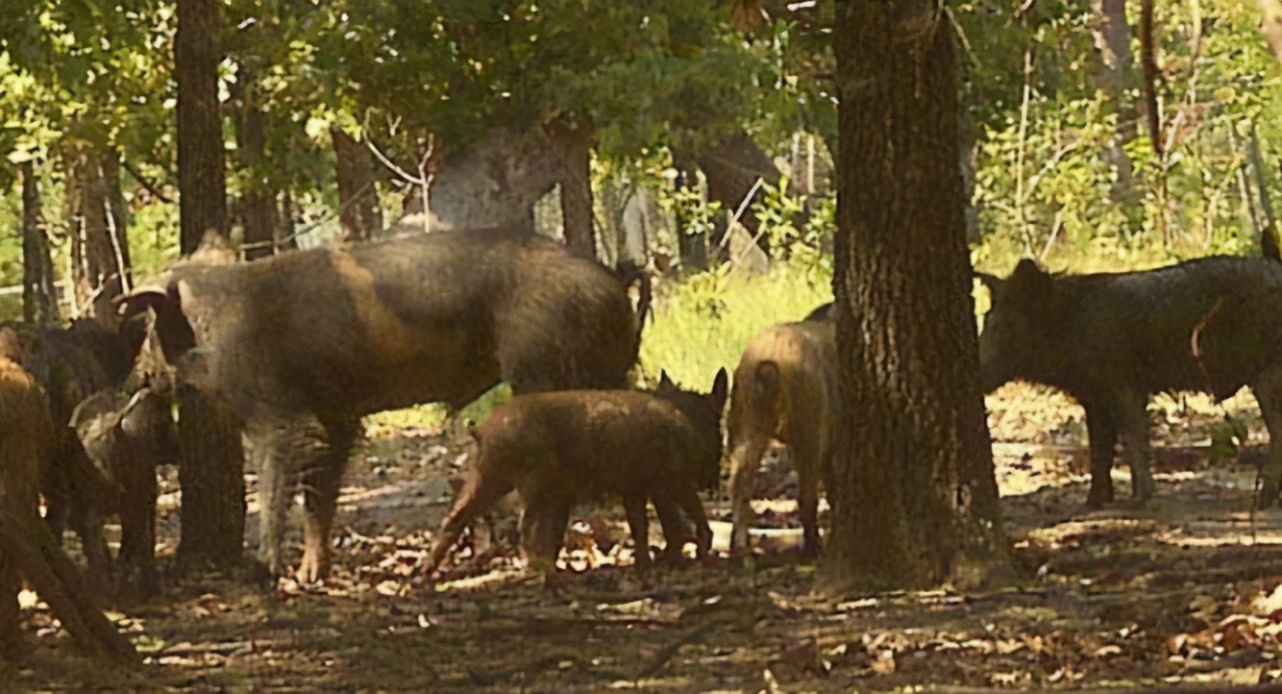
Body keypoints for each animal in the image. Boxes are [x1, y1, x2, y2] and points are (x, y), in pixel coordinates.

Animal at [120, 227, 641, 579]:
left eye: (149, 328)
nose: (136, 376)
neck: (216, 328)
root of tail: (612, 281)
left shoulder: (279, 414)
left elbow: (273, 483)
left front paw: (266, 570)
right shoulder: (337, 415)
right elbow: (320, 494)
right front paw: (311, 577)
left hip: (541, 367)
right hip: (605, 370)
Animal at [428, 366, 728, 574]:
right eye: (717, 425)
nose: (712, 480)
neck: (689, 423)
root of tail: (484, 431)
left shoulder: (635, 488)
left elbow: (641, 527)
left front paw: (645, 565)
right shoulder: (670, 481)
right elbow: (681, 522)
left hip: (487, 475)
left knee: (455, 518)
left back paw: (425, 575)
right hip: (530, 485)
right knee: (525, 527)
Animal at [733, 320, 840, 556]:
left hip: (746, 415)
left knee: (739, 477)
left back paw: (739, 545)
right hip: (807, 422)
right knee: (806, 494)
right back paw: (812, 547)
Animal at [979, 256, 1282, 505]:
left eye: (1006, 325)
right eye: (987, 321)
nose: (980, 372)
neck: (1071, 326)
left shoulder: (1125, 387)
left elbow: (1133, 438)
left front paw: (1140, 500)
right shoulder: (1094, 398)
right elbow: (1100, 449)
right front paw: (1093, 503)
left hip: (1267, 374)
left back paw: (1264, 501)